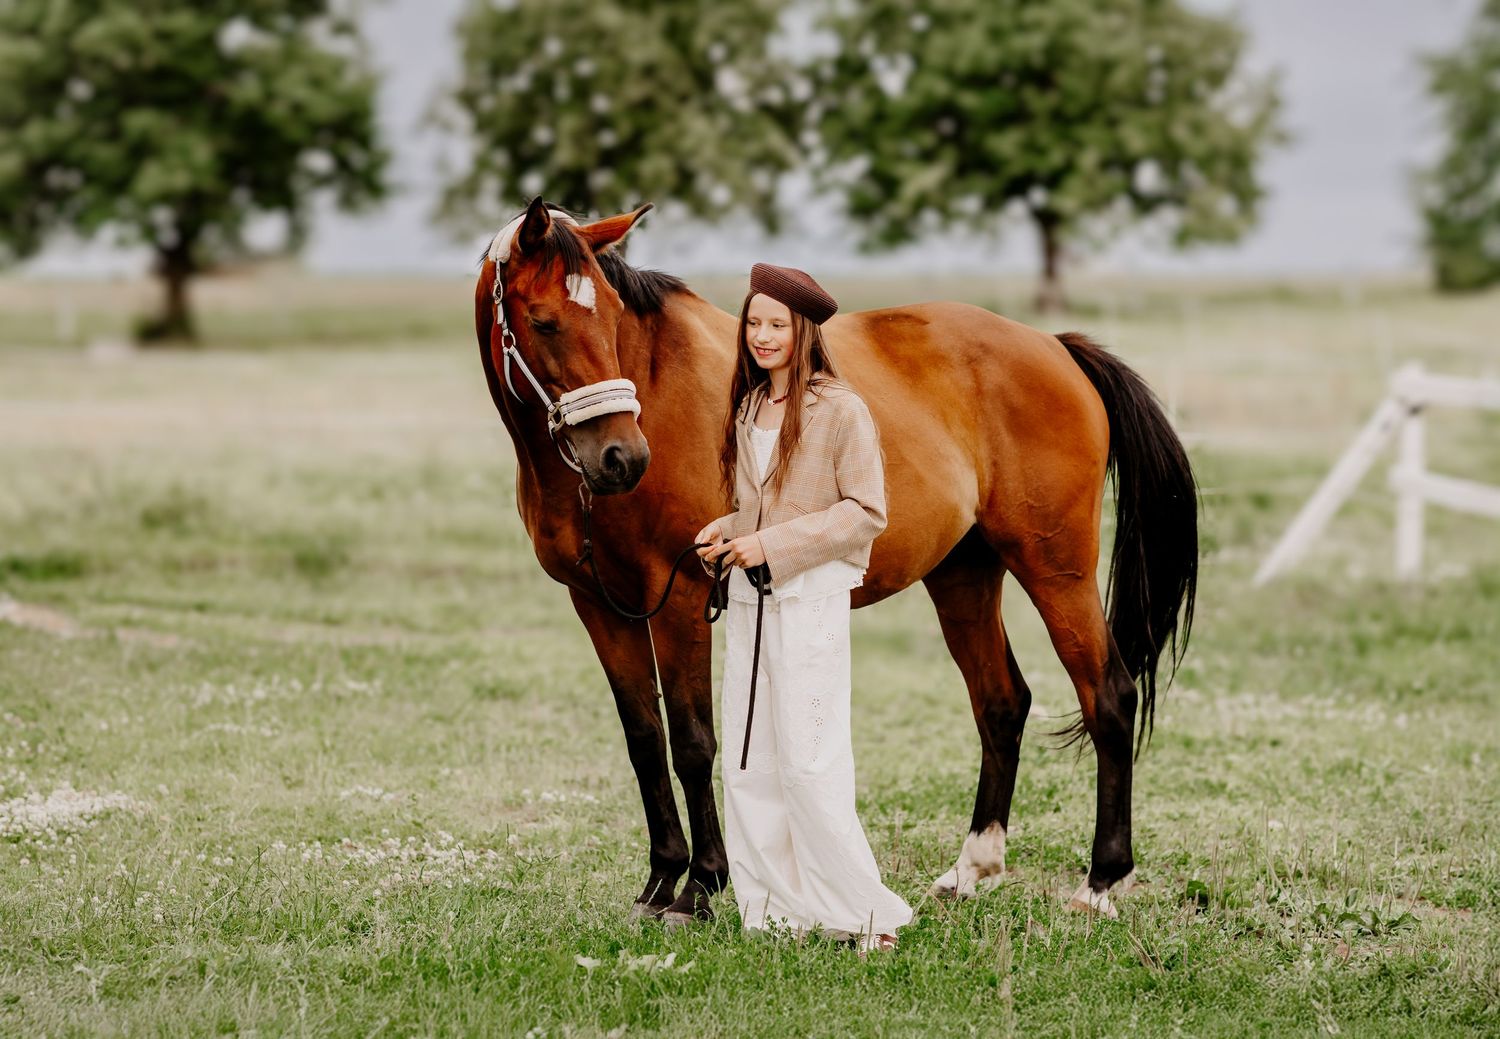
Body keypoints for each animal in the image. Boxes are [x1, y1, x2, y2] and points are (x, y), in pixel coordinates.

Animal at [474, 197, 1197, 925]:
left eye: (614, 316)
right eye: (544, 321)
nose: (622, 458)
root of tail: (1056, 347)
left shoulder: (679, 599)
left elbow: (693, 741)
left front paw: (701, 887)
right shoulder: (600, 606)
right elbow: (645, 741)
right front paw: (659, 882)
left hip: (1056, 569)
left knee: (1109, 697)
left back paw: (1100, 881)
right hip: (964, 574)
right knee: (1001, 703)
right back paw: (972, 868)